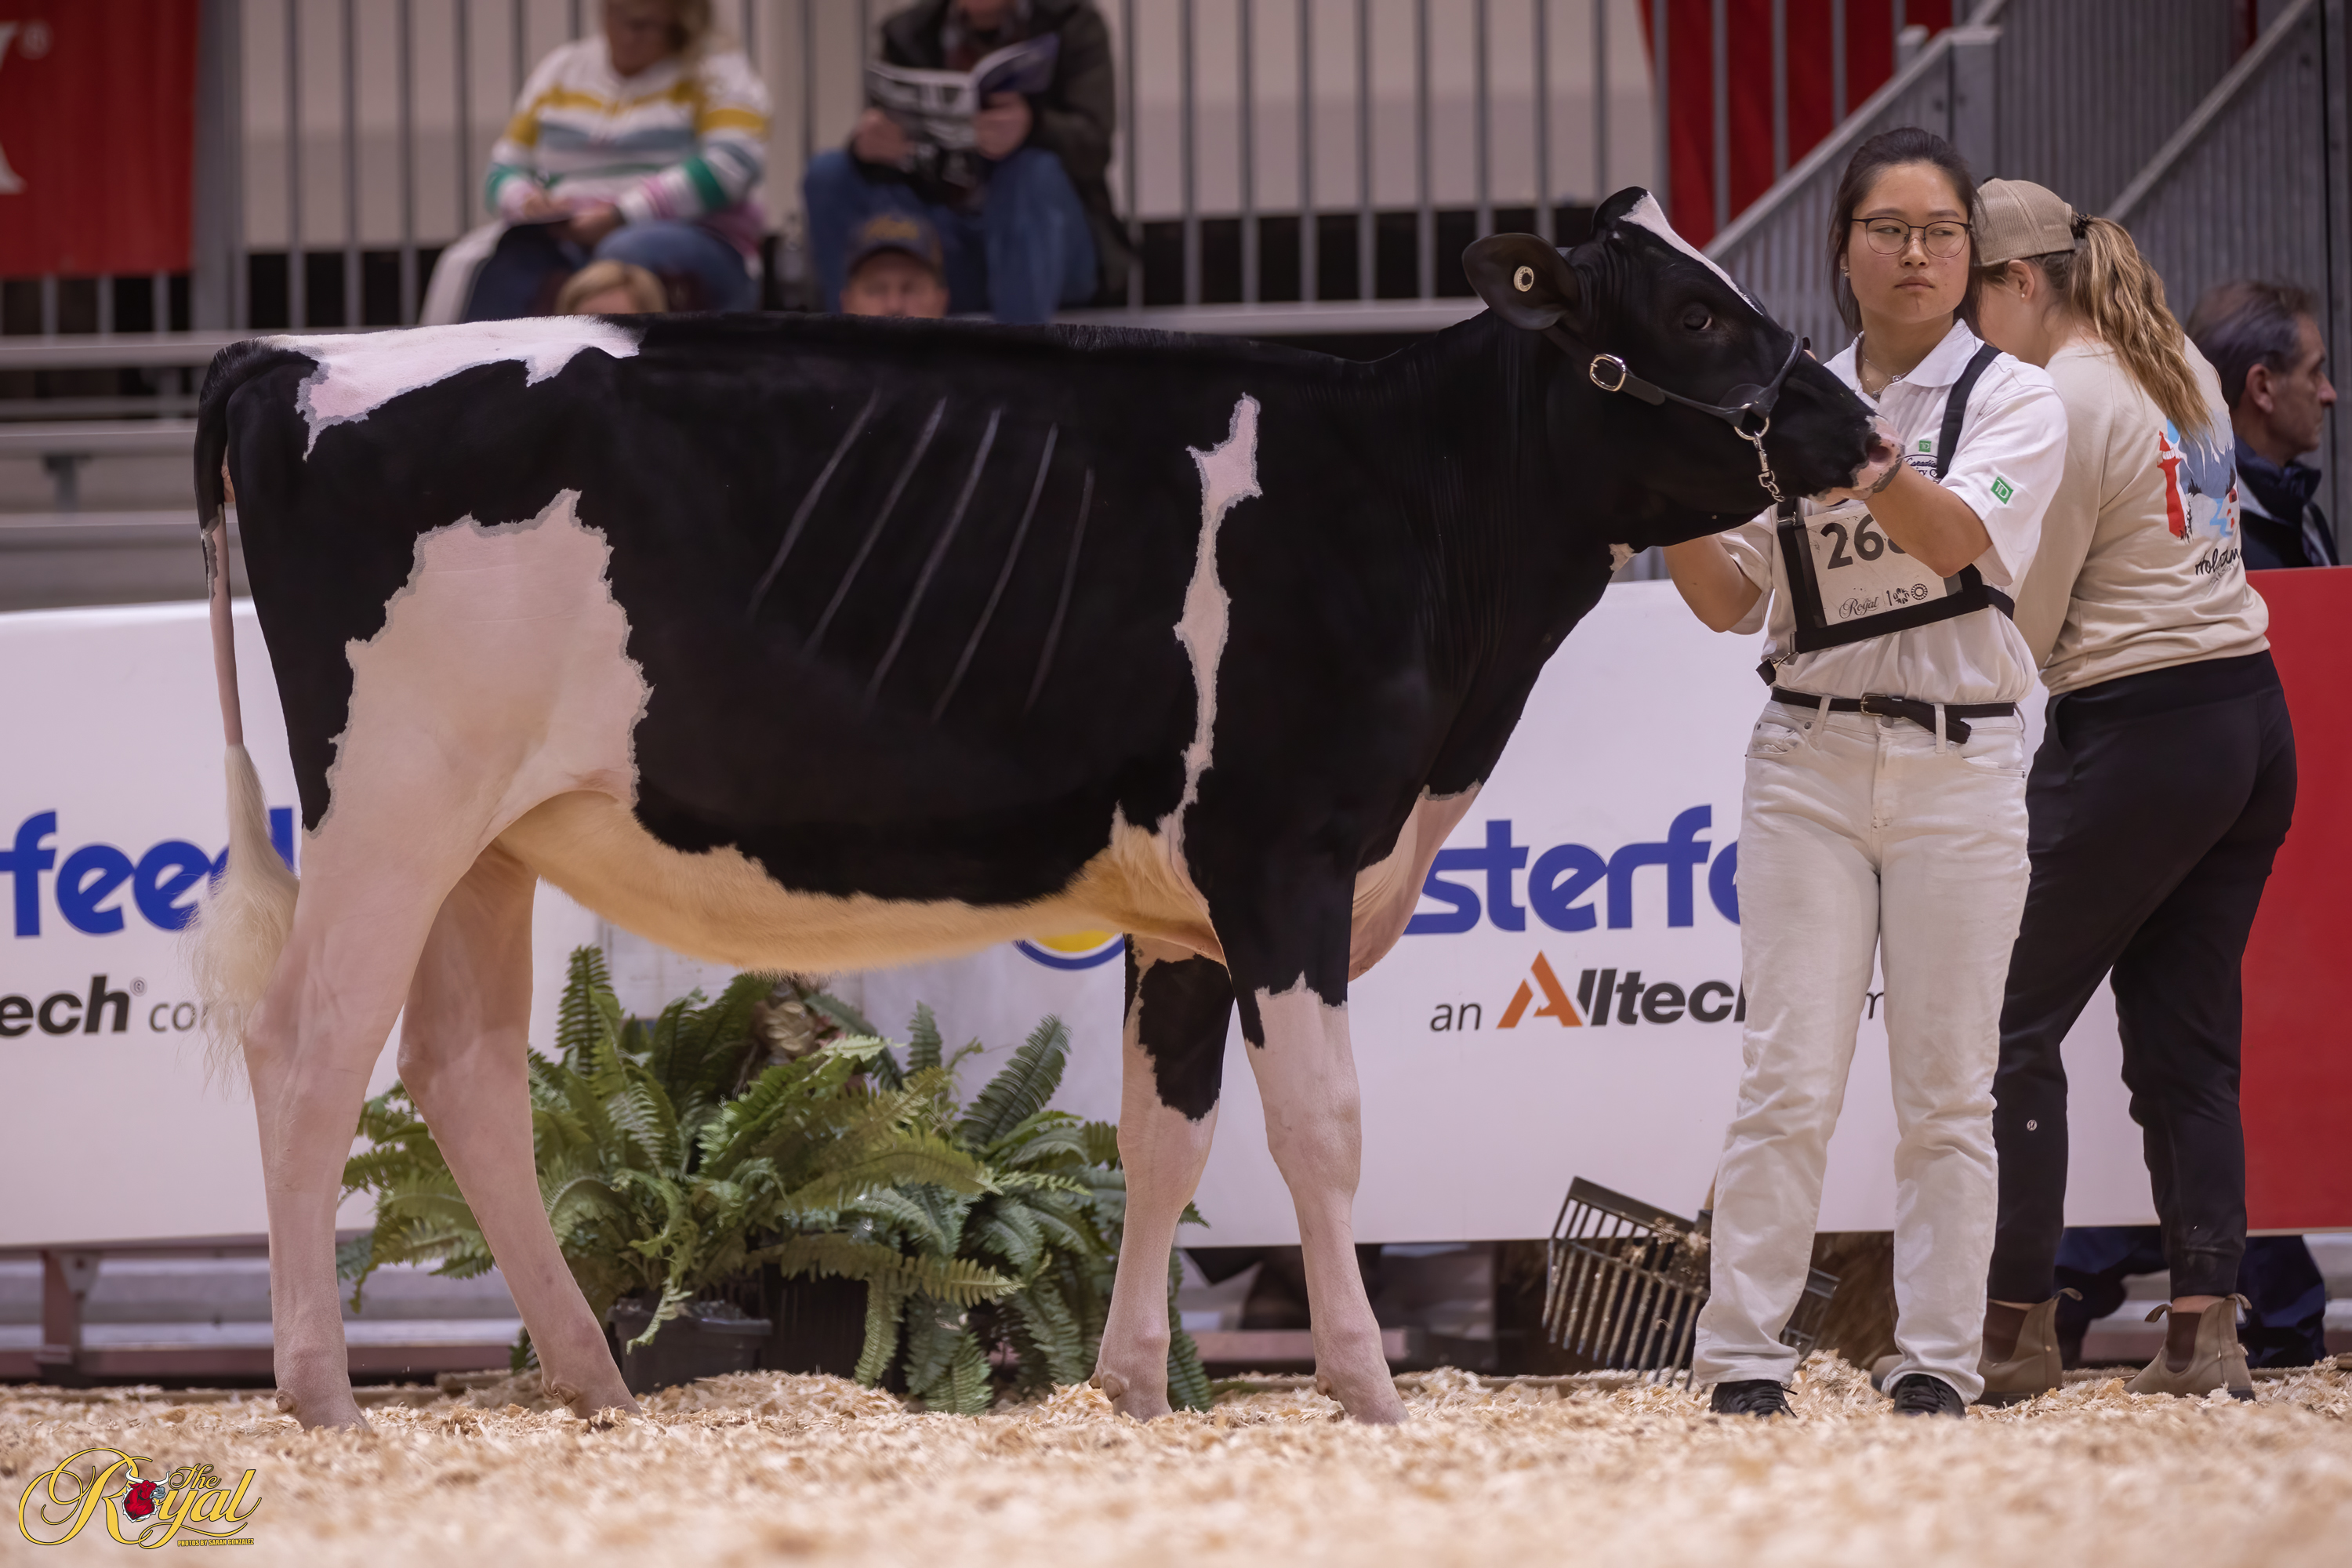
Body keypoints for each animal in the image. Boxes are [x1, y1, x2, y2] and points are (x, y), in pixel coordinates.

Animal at [189, 188, 1874, 1430]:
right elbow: (1321, 1131)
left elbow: (1164, 1138)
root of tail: (299, 359)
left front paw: (1131, 1395)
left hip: (484, 837)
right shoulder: (1286, 857)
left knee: (461, 1069)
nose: (1858, 425)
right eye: (1695, 314)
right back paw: (322, 1395)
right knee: (311, 1046)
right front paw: (1369, 1392)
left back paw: (594, 1382)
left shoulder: (1187, 906)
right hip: (391, 801)